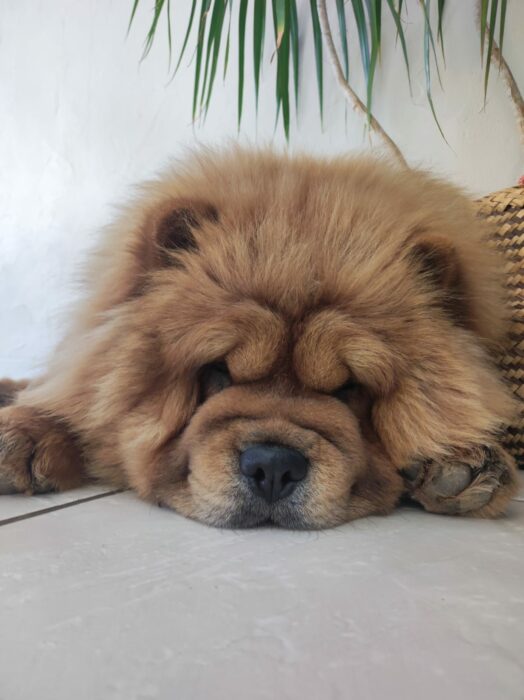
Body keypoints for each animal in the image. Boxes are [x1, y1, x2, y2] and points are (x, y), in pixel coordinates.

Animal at [0, 148, 518, 528]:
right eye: (217, 372)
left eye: (349, 389)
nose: (273, 466)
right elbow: (76, 408)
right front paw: (25, 434)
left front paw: (462, 462)